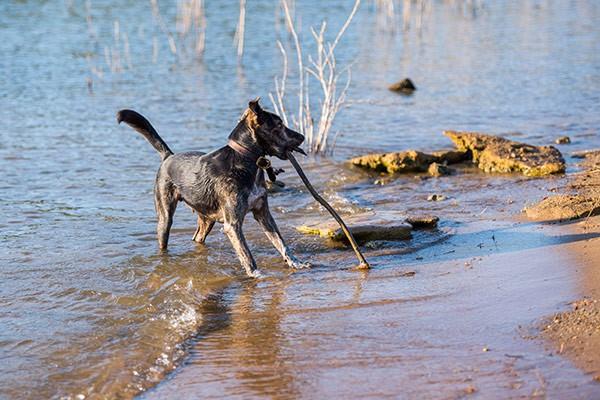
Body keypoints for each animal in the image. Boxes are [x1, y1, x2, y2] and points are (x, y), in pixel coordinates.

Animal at [118, 98, 314, 276]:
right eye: (279, 125)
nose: (303, 137)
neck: (245, 160)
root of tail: (168, 156)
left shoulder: (263, 213)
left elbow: (281, 243)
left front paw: (296, 263)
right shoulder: (232, 225)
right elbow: (247, 255)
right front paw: (256, 275)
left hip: (207, 218)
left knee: (197, 237)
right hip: (165, 217)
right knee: (165, 239)